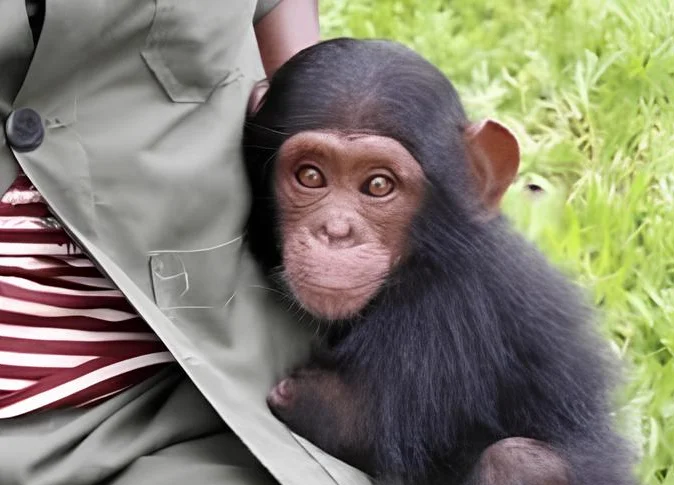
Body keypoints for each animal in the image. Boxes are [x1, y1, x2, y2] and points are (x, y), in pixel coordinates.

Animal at [243, 38, 635, 485]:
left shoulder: (444, 312)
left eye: (378, 185)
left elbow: (345, 414)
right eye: (310, 176)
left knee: (519, 462)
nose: (337, 231)